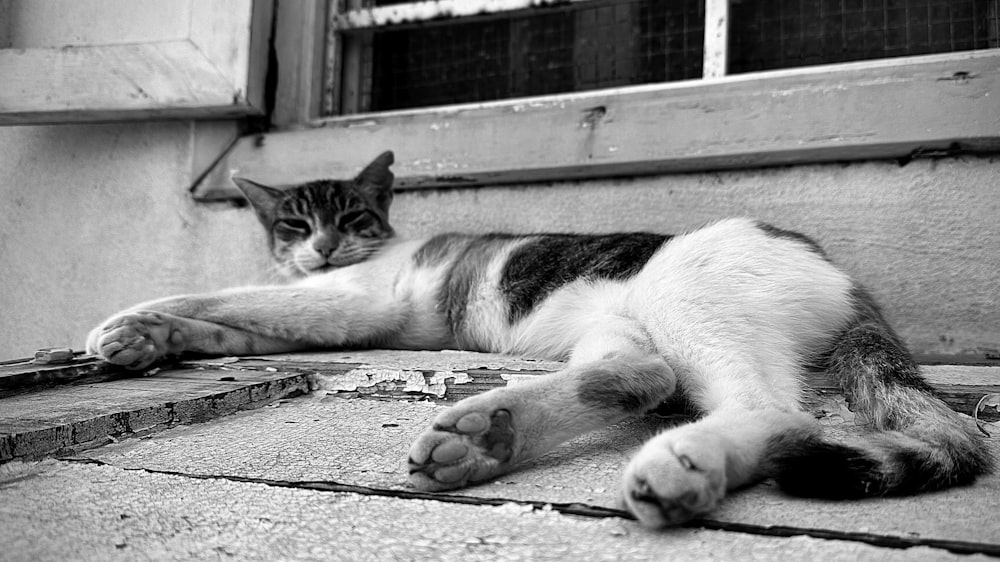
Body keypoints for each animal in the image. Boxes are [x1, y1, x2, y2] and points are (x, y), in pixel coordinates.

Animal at [86, 151, 992, 528]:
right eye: (293, 222)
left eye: (352, 217)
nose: (321, 247)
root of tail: (841, 272)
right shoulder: (325, 302)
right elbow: (232, 317)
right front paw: (149, 341)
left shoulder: (352, 304)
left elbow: (228, 296)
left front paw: (125, 318)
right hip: (621, 325)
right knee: (644, 376)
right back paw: (486, 435)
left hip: (681, 290)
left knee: (778, 411)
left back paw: (685, 464)